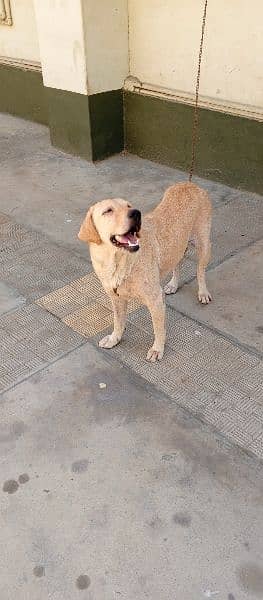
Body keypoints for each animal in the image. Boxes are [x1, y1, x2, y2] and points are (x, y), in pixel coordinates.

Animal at [78, 182, 212, 360]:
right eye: (108, 211)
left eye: (129, 205)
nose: (136, 213)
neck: (118, 262)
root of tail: (189, 183)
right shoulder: (116, 298)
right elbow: (118, 321)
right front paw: (114, 339)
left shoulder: (155, 299)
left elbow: (158, 328)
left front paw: (157, 349)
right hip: (178, 245)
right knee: (177, 263)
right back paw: (173, 284)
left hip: (203, 243)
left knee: (200, 271)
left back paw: (203, 292)